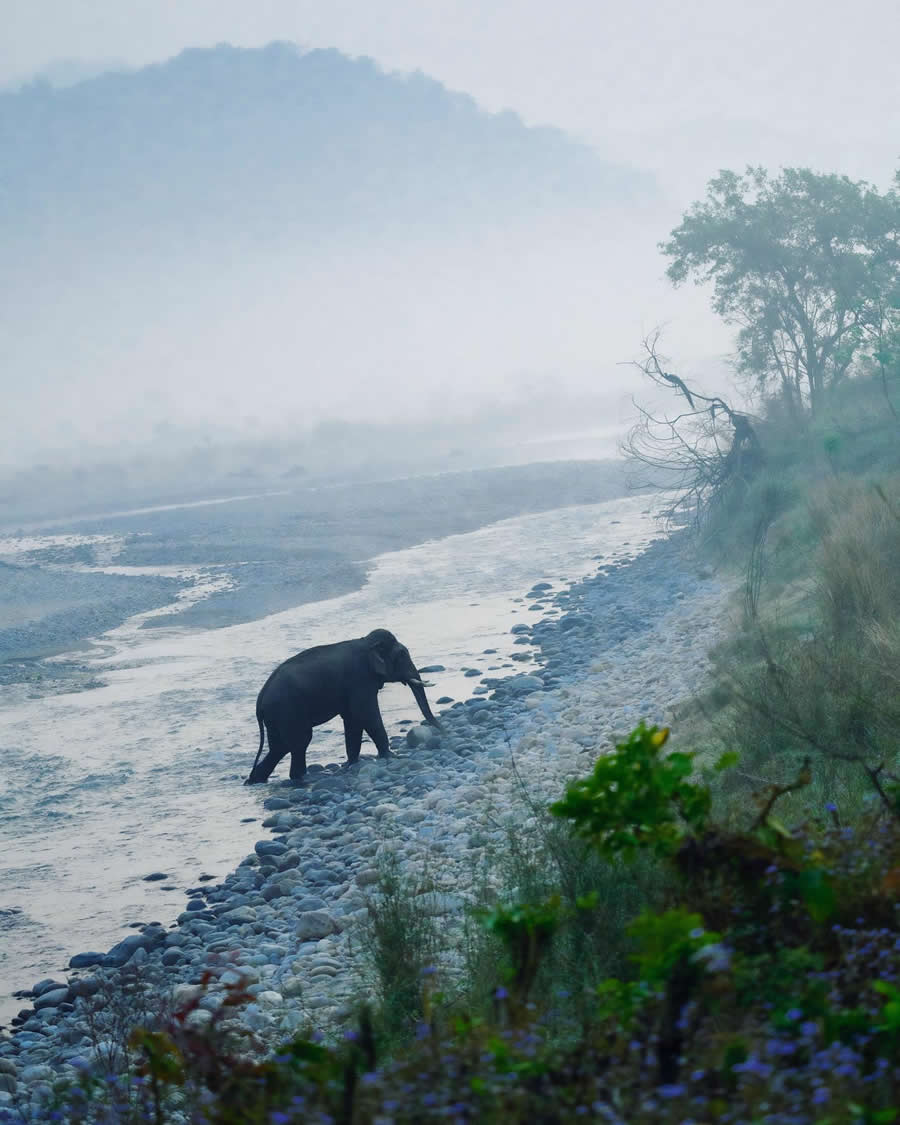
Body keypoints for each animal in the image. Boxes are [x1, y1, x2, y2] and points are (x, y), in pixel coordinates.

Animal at [246, 634, 443, 783]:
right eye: (402, 655)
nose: (444, 732)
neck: (367, 642)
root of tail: (260, 699)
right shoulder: (360, 679)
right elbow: (365, 713)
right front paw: (391, 756)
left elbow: (352, 718)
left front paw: (352, 763)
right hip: (287, 711)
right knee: (299, 742)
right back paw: (302, 778)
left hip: (275, 717)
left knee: (279, 747)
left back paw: (255, 780)